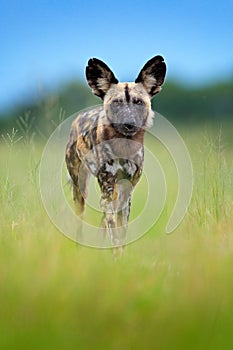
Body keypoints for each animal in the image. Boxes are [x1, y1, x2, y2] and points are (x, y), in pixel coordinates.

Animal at [65, 55, 166, 254]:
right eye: (116, 102)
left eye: (138, 102)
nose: (128, 123)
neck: (123, 147)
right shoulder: (108, 191)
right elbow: (115, 233)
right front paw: (116, 257)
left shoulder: (126, 194)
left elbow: (120, 233)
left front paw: (120, 257)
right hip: (82, 190)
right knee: (81, 222)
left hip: (114, 193)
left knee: (104, 222)